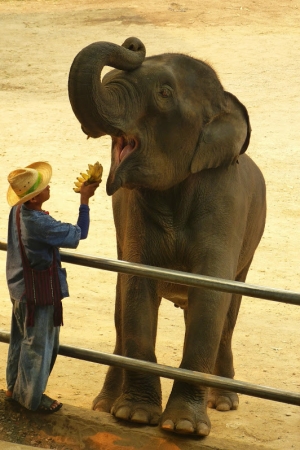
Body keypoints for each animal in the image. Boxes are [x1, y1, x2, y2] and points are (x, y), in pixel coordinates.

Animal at [67, 37, 264, 438]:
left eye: (164, 93)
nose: (133, 43)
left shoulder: (225, 204)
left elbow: (211, 296)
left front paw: (185, 428)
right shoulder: (133, 214)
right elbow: (137, 288)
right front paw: (135, 417)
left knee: (228, 317)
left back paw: (224, 402)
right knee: (121, 308)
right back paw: (105, 404)